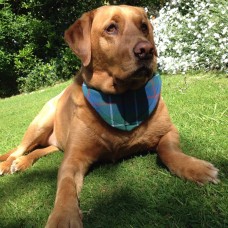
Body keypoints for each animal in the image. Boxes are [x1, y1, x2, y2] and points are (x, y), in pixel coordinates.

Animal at [0, 4, 220, 227]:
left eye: (143, 26)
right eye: (111, 28)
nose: (146, 50)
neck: (121, 98)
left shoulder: (169, 130)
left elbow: (169, 151)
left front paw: (195, 168)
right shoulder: (73, 158)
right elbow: (65, 186)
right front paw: (63, 216)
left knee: (42, 149)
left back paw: (22, 163)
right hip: (41, 122)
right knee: (19, 149)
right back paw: (8, 163)